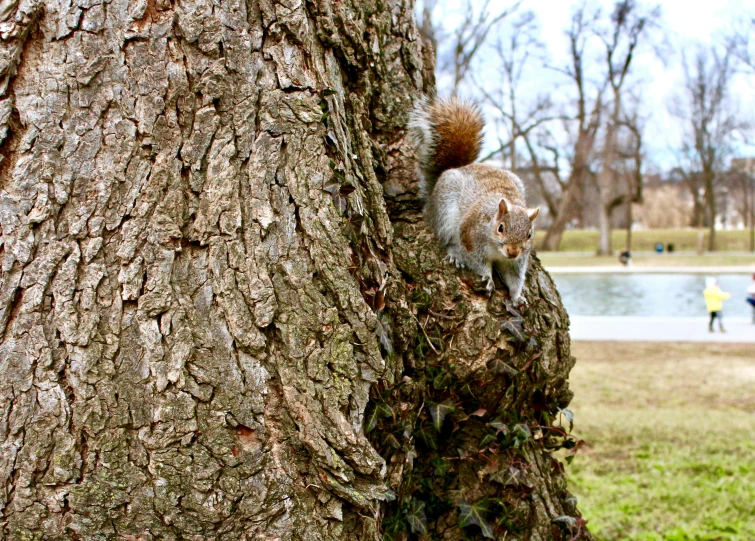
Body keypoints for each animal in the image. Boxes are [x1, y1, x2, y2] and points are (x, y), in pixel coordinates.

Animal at [410, 95, 540, 306]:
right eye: (501, 228)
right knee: (445, 238)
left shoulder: (517, 261)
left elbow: (515, 278)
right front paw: (487, 278)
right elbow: (477, 262)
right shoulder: (470, 237)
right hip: (445, 212)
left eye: (529, 234)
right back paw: (455, 254)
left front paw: (516, 297)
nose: (513, 251)